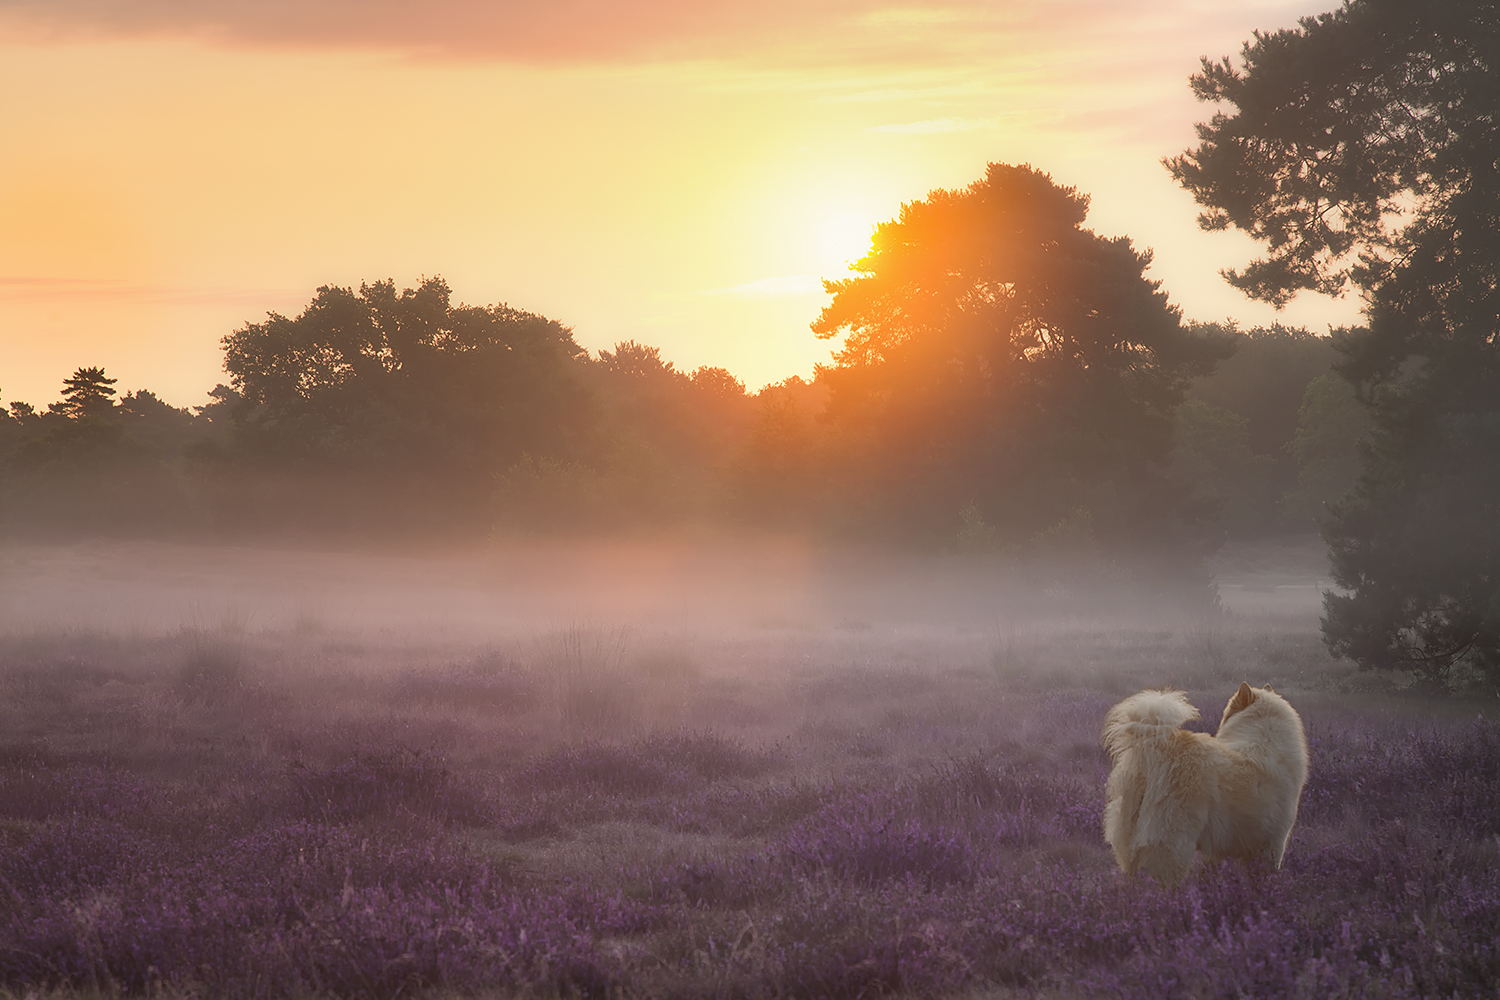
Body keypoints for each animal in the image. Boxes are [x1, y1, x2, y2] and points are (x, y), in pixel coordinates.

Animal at [1104, 683, 1314, 887]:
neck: (1264, 738)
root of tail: (1160, 748)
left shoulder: (1218, 850)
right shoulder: (1273, 845)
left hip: (1130, 835)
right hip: (1173, 843)